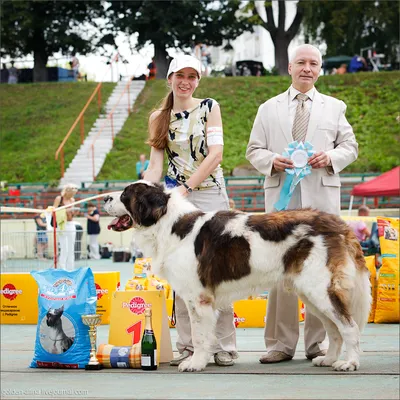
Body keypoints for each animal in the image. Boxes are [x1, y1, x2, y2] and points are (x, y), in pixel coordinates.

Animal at [103, 180, 372, 372]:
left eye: (125, 195)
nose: (105, 197)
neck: (168, 224)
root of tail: (340, 224)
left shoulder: (198, 298)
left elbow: (199, 335)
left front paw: (195, 363)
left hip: (320, 289)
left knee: (349, 327)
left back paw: (349, 363)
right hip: (311, 294)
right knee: (334, 329)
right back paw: (328, 359)